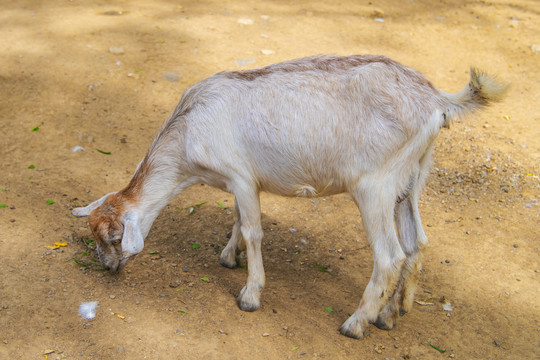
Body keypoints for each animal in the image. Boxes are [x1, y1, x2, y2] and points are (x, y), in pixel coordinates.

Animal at [71, 54, 506, 338]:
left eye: (114, 238)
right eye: (95, 237)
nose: (109, 268)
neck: (188, 131)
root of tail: (437, 99)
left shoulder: (241, 176)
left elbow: (253, 230)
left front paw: (250, 295)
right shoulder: (242, 183)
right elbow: (236, 218)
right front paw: (228, 256)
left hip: (376, 186)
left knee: (390, 257)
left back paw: (356, 324)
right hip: (411, 178)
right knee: (418, 244)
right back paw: (392, 314)